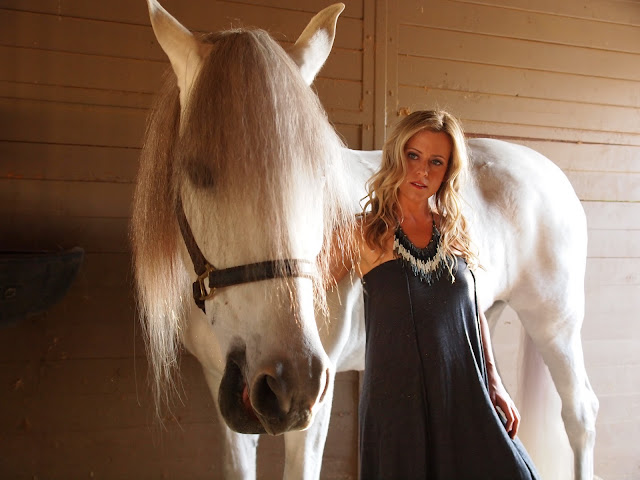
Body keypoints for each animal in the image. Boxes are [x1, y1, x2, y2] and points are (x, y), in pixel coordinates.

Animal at [131, 2, 599, 479]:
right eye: (197, 172)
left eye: (320, 177)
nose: (287, 381)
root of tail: (547, 169)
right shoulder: (221, 385)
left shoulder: (317, 399)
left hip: (556, 323)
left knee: (579, 414)